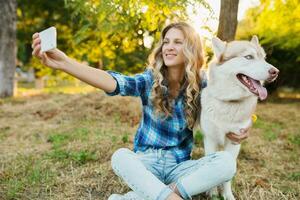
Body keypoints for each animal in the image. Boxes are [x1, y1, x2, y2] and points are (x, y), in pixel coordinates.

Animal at [200, 35, 280, 198]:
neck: (229, 102)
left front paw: (227, 195)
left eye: (264, 58)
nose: (275, 72)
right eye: (249, 57)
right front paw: (212, 193)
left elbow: (228, 175)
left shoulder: (234, 142)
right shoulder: (210, 139)